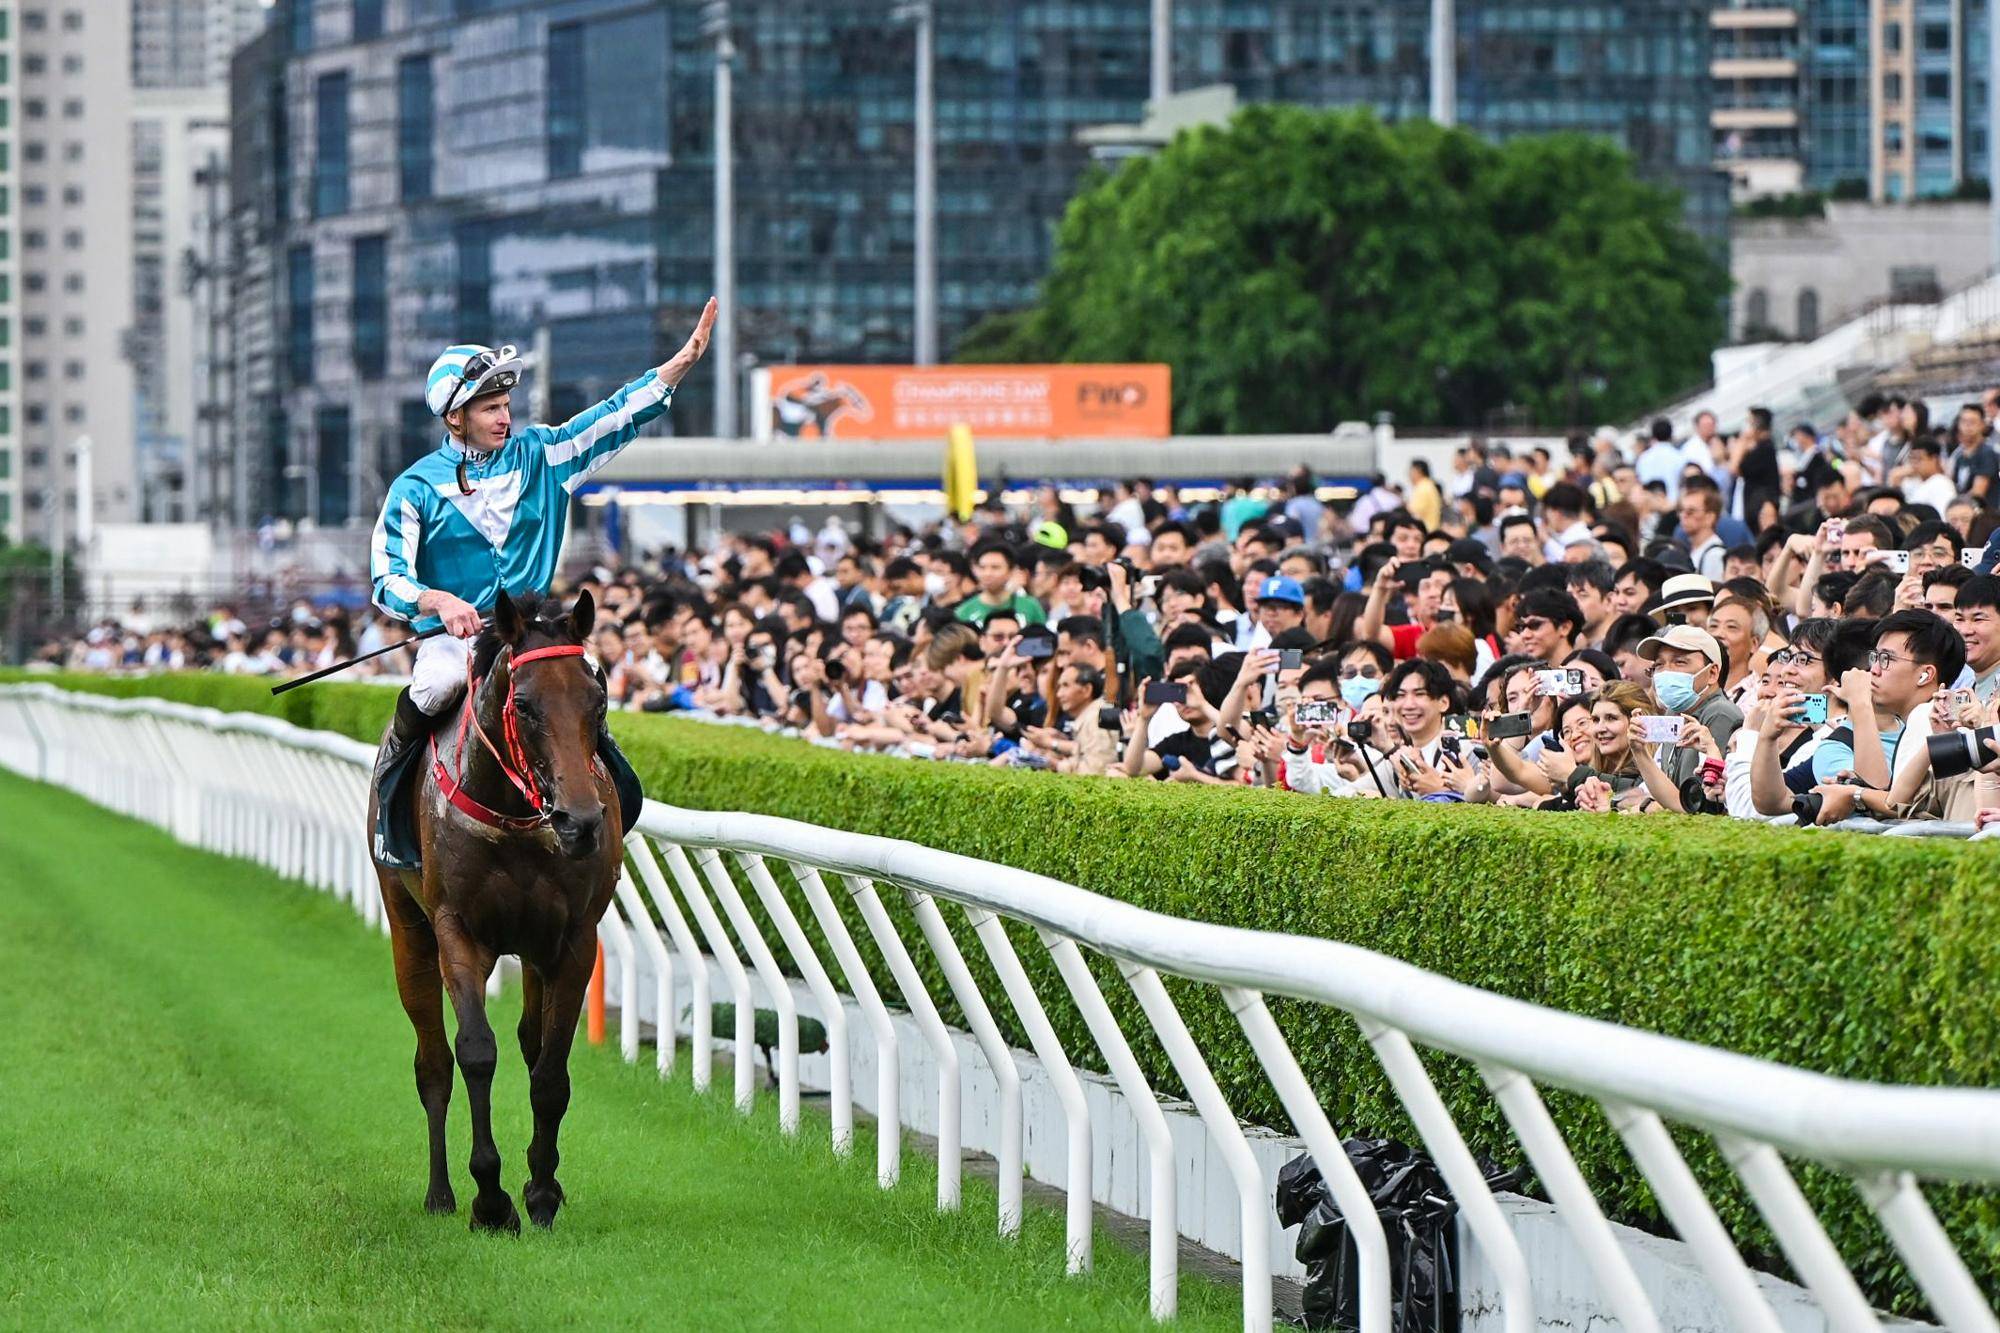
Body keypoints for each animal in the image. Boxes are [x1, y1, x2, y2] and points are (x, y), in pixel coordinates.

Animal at [372, 588, 620, 1232]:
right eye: (525, 705)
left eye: (598, 700)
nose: (581, 823)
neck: (515, 815)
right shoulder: (457, 931)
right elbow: (476, 1052)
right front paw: (490, 1196)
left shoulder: (574, 939)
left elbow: (551, 1071)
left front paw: (542, 1191)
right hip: (407, 928)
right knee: (433, 1062)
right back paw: (440, 1194)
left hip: (533, 949)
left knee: (532, 1043)